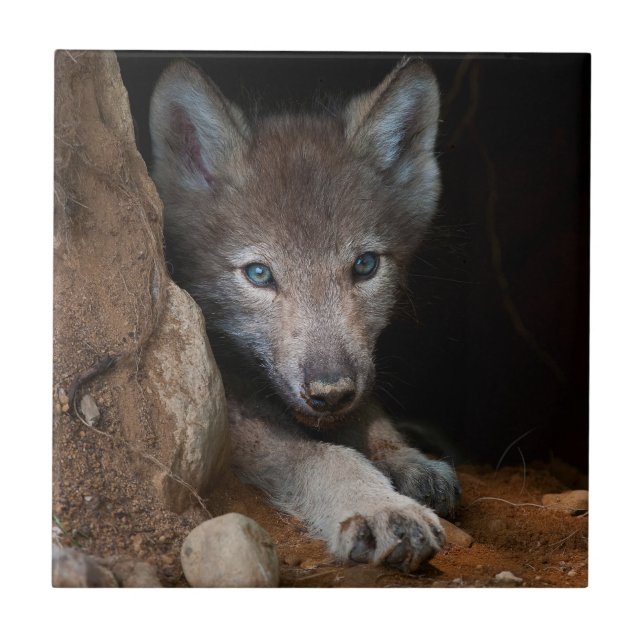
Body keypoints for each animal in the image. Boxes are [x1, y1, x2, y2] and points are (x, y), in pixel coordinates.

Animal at [149, 57, 460, 572]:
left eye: (365, 266)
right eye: (259, 274)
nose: (330, 392)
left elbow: (373, 419)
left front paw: (408, 460)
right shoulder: (235, 420)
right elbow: (327, 457)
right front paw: (382, 507)